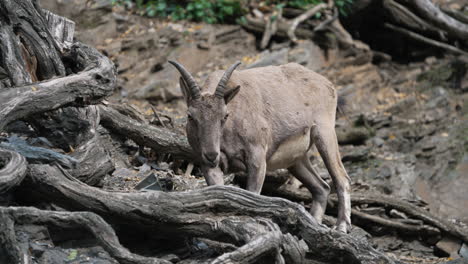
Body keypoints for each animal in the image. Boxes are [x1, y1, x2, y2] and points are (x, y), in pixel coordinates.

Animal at [170, 60, 350, 232]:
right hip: (297, 160)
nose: (211, 155)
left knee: (342, 178)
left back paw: (341, 226)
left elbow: (252, 195)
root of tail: (327, 84)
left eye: (225, 115)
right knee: (321, 187)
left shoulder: (256, 159)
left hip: (325, 133)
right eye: (190, 116)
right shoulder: (209, 167)